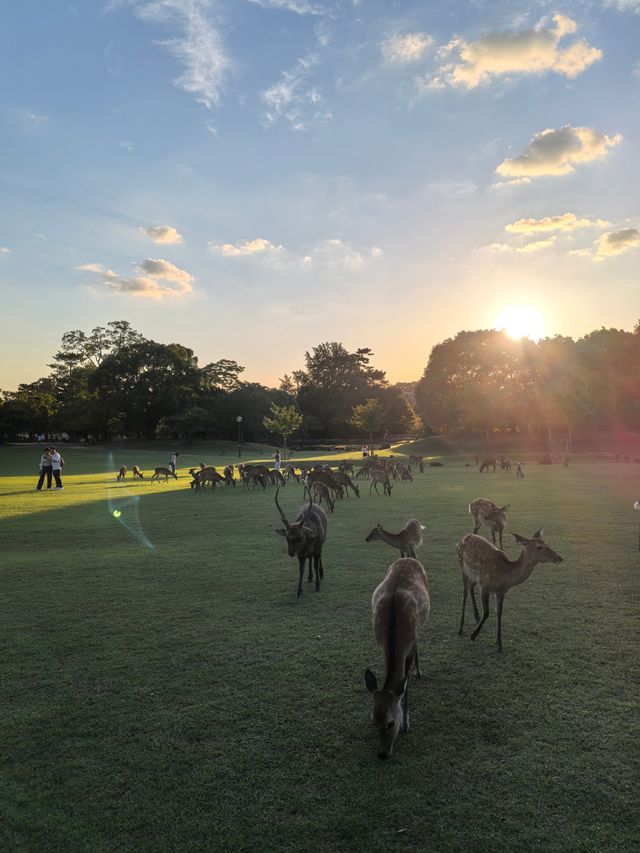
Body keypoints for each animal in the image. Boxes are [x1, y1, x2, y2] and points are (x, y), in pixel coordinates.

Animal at [364, 560, 430, 760]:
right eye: (373, 721)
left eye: (391, 723)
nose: (382, 754)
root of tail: (409, 559)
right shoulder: (381, 644)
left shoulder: (409, 645)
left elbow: (405, 685)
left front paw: (406, 725)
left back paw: (419, 672)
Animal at [456, 524, 564, 652]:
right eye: (539, 547)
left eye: (546, 543)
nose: (559, 557)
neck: (503, 575)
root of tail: (462, 539)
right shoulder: (484, 585)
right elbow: (486, 612)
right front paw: (473, 635)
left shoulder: (502, 591)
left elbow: (499, 613)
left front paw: (499, 644)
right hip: (462, 567)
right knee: (464, 593)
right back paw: (460, 628)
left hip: (473, 576)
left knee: (470, 588)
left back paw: (476, 617)